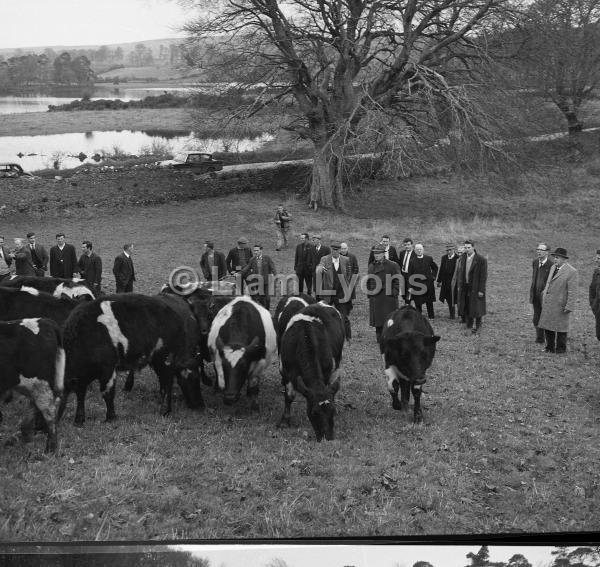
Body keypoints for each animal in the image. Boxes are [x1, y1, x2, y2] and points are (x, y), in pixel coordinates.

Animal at [60, 292, 202, 426]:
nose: (199, 405)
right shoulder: (82, 377)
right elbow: (80, 394)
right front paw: (79, 420)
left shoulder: (108, 369)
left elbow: (107, 393)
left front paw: (110, 418)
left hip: (165, 358)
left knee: (167, 383)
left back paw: (165, 411)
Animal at [278, 304, 344, 442]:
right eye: (314, 413)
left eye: (333, 411)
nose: (327, 438)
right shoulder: (285, 371)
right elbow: (289, 396)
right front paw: (284, 421)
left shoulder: (326, 372)